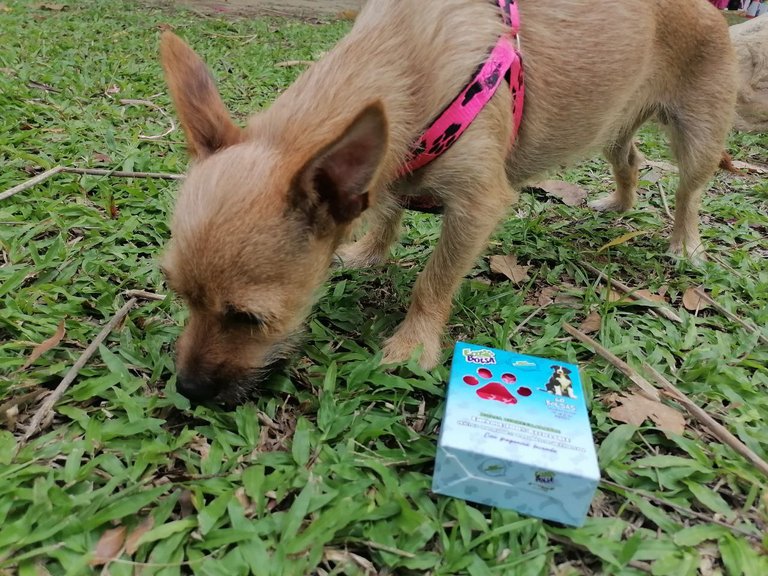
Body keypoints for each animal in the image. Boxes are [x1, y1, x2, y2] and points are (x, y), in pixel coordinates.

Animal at [159, 0, 736, 402]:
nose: (187, 389)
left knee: (688, 191)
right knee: (630, 158)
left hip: (699, 136)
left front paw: (414, 344)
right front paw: (371, 251)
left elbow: (433, 281)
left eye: (248, 318)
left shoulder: (478, 205)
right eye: (176, 293)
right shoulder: (391, 170)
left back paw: (685, 245)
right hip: (614, 124)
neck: (404, 62)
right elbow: (389, 208)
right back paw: (618, 204)